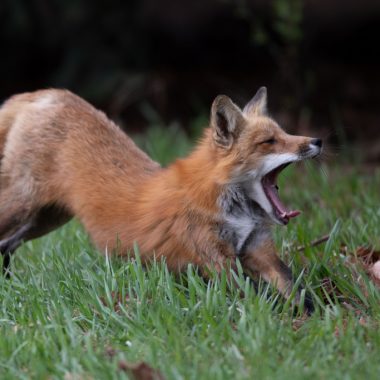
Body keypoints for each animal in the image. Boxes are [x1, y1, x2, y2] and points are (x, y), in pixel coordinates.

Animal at [0, 87, 322, 312]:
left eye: (284, 132)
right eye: (269, 142)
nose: (317, 141)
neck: (235, 210)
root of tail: (48, 93)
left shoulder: (258, 248)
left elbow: (298, 291)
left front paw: (317, 318)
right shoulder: (216, 258)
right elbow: (260, 298)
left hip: (47, 218)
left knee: (6, 245)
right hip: (23, 207)